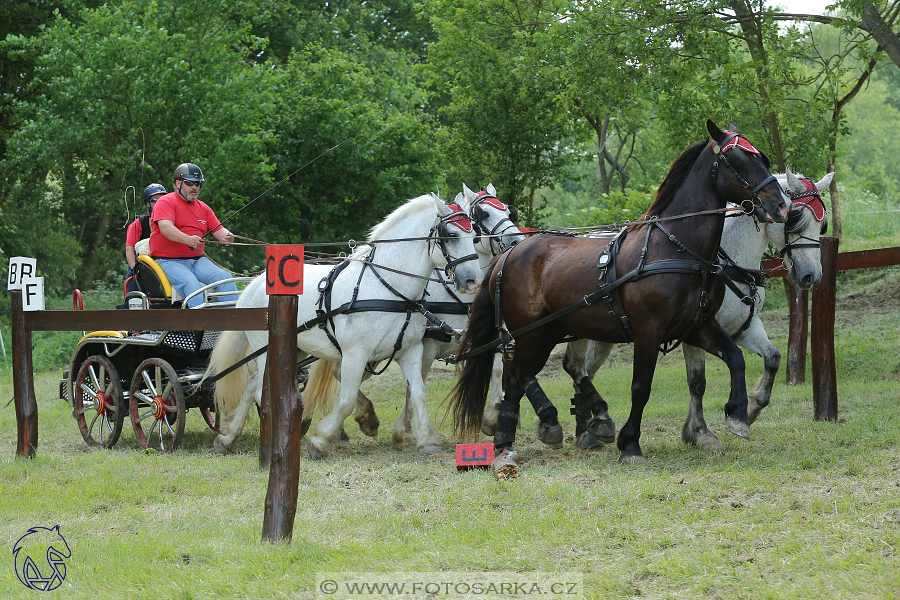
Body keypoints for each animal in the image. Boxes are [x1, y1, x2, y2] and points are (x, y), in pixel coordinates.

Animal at [207, 195, 482, 458]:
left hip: (296, 349)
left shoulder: (411, 351)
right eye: (452, 235)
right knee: (262, 393)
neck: (388, 288)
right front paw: (320, 442)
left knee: (251, 387)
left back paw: (227, 438)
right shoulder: (355, 354)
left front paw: (425, 439)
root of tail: (254, 284)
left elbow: (418, 393)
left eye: (474, 236)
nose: (474, 281)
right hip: (267, 349)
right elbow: (347, 400)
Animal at [306, 185, 524, 448]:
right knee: (343, 374)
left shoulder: (470, 339)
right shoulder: (427, 345)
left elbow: (497, 368)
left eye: (509, 212)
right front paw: (407, 431)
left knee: (343, 374)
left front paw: (491, 419)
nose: (516, 241)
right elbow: (416, 384)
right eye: (484, 214)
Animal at [450, 118, 788, 464]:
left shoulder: (698, 327)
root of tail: (509, 254)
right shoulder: (648, 330)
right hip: (530, 332)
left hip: (548, 333)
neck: (675, 248)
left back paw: (509, 440)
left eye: (764, 159)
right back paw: (537, 426)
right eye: (738, 160)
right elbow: (641, 387)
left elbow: (735, 358)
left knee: (518, 378)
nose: (780, 205)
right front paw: (630, 444)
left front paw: (738, 414)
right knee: (519, 371)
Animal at [486, 168, 836, 450]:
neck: (720, 258)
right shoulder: (694, 333)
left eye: (823, 225)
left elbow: (773, 358)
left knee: (580, 370)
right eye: (795, 217)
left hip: (596, 334)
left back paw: (586, 425)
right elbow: (697, 382)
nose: (811, 276)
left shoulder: (742, 327)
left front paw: (749, 408)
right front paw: (700, 433)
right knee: (567, 367)